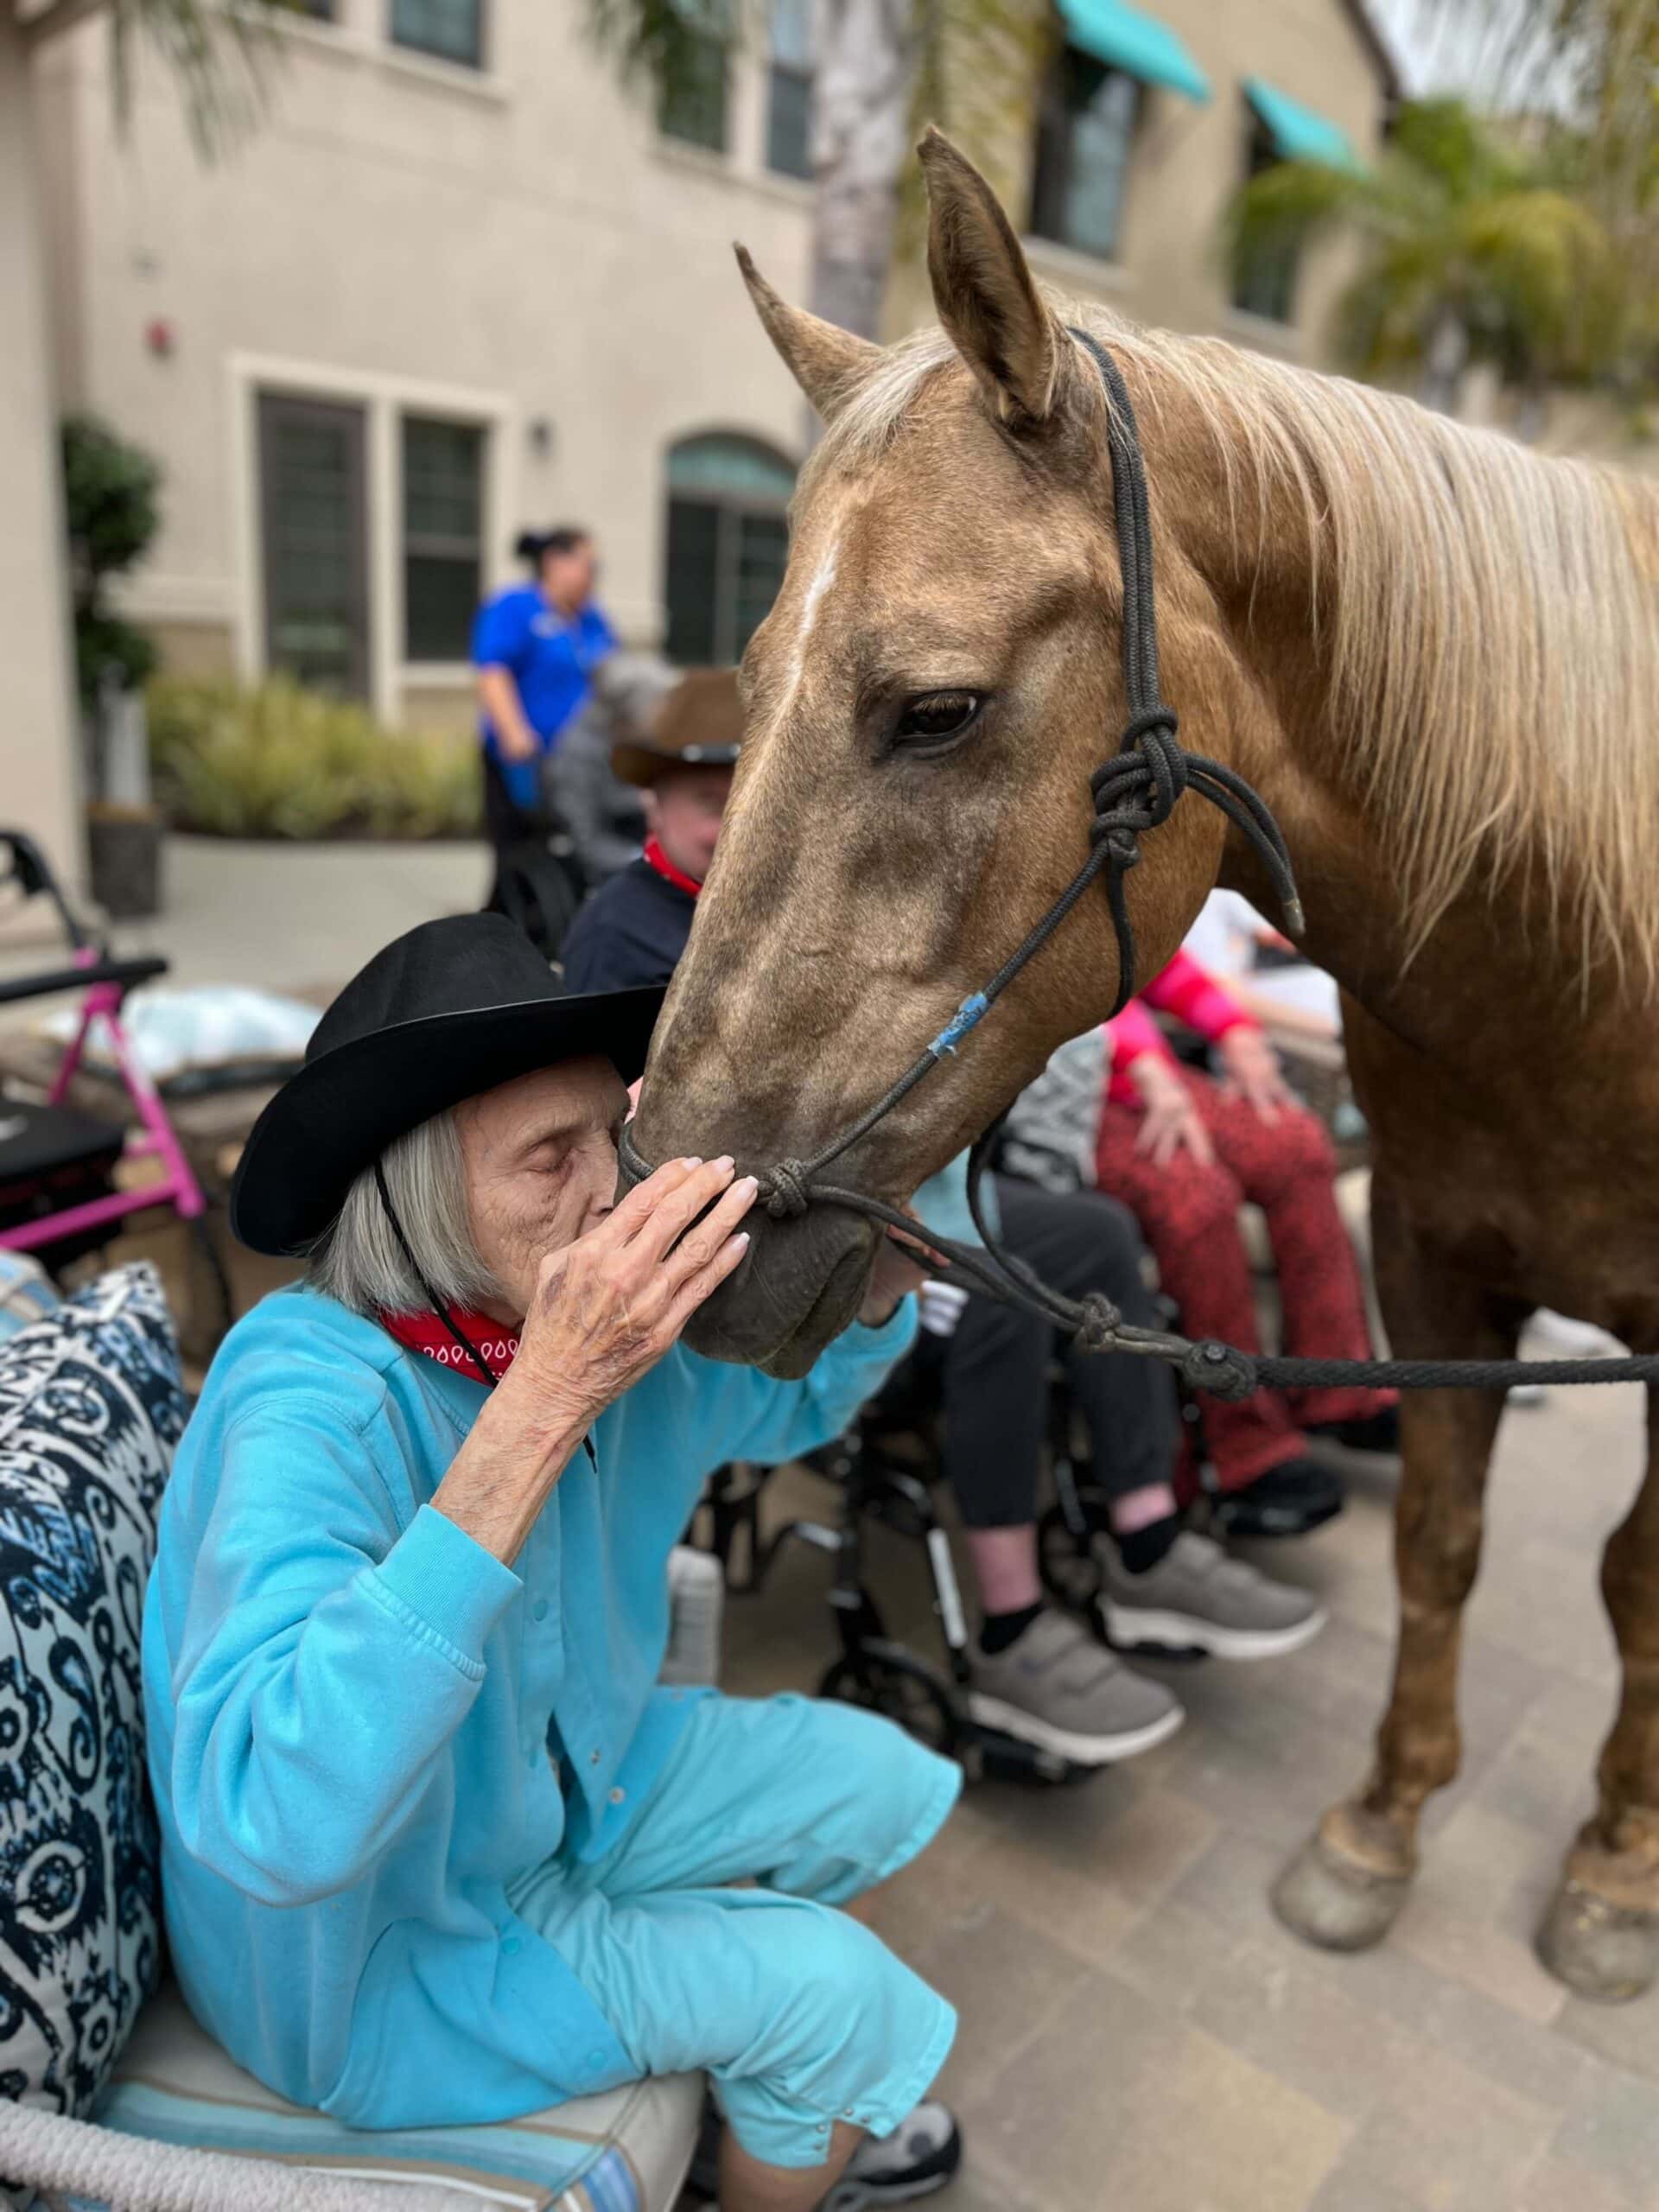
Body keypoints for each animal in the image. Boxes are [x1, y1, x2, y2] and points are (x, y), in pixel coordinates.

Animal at [628, 133, 1659, 2008]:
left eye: (938, 708)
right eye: (741, 682)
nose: (680, 1209)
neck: (1581, 960)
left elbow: (1633, 1580)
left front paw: (1618, 1863)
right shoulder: (1434, 1257)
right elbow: (1441, 1539)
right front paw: (1379, 1826)